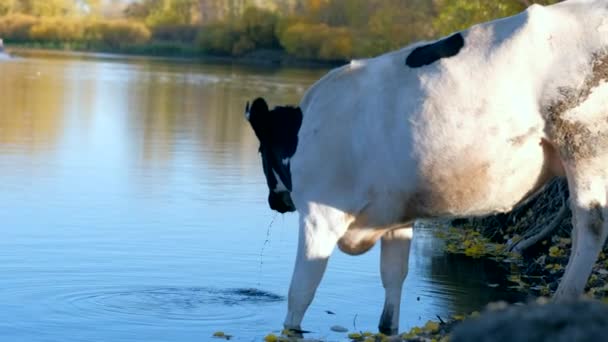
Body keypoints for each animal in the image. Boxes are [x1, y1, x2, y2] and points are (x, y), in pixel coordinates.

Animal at [245, 0, 608, 336]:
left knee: (589, 225)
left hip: (584, 140)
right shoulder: (395, 217)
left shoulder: (320, 215)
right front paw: (387, 328)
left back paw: (564, 297)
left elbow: (300, 293)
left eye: (262, 150)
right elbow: (393, 280)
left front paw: (288, 330)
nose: (273, 202)